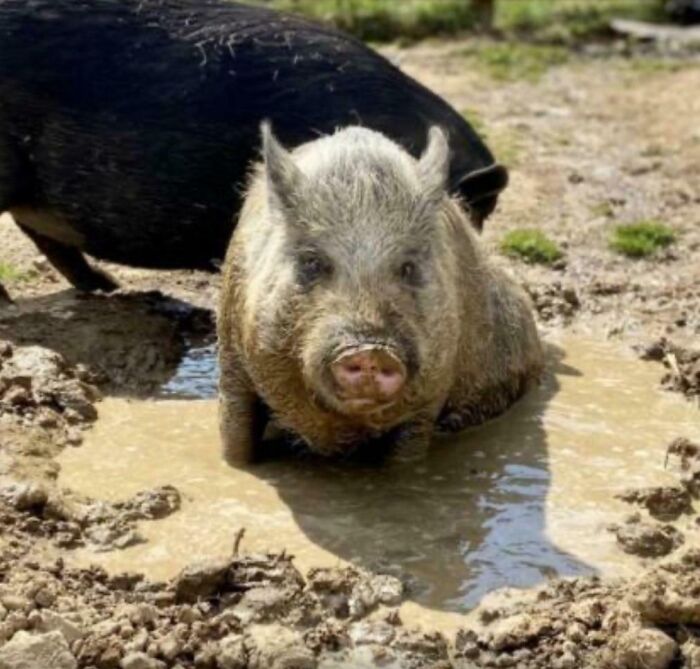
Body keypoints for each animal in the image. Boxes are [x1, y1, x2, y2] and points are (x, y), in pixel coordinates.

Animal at [217, 124, 543, 463]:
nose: (371, 350)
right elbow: (236, 440)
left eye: (408, 266)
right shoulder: (231, 359)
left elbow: (404, 459)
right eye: (312, 261)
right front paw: (233, 464)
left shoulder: (429, 397)